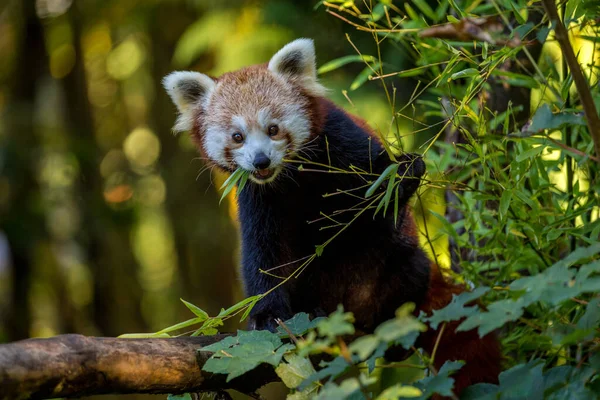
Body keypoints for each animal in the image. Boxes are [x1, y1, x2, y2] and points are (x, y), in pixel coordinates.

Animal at [163, 38, 502, 396]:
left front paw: (403, 172)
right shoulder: (258, 198)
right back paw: (313, 311)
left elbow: (376, 203)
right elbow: (263, 255)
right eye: (237, 136)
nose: (261, 161)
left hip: (399, 266)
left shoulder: (342, 143)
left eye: (273, 129)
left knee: (409, 268)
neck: (293, 177)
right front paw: (267, 316)